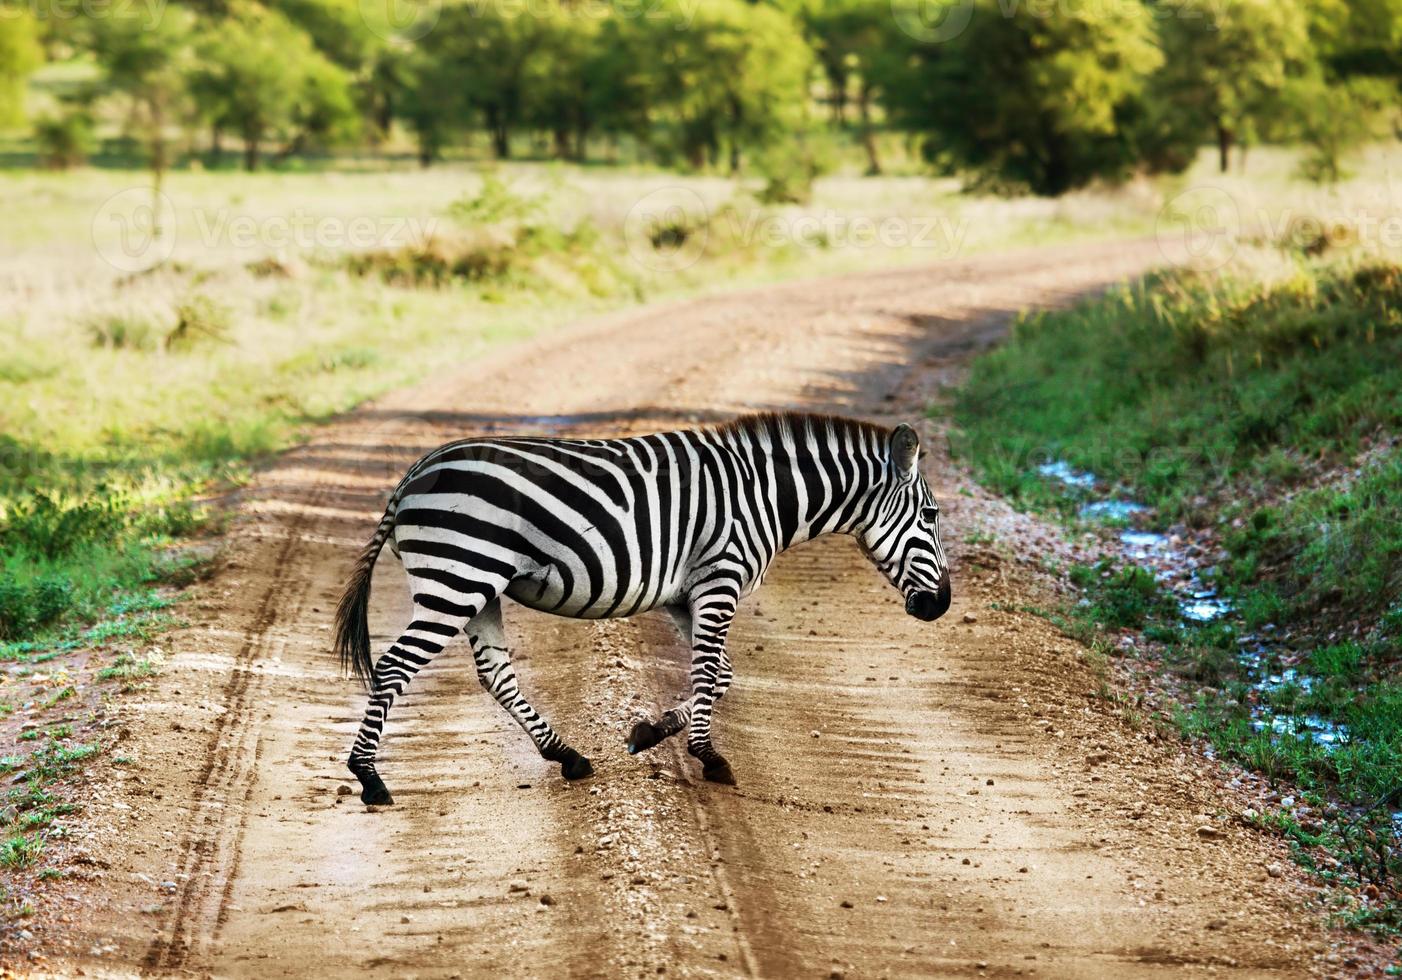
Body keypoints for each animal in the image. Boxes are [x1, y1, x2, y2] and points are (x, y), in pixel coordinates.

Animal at [336, 409, 953, 801]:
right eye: (931, 516)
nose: (941, 606)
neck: (765, 496)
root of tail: (414, 473)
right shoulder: (719, 577)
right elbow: (708, 673)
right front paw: (708, 756)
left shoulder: (687, 594)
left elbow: (722, 675)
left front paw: (650, 733)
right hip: (457, 577)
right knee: (393, 667)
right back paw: (368, 778)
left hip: (480, 586)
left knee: (496, 676)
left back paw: (568, 756)